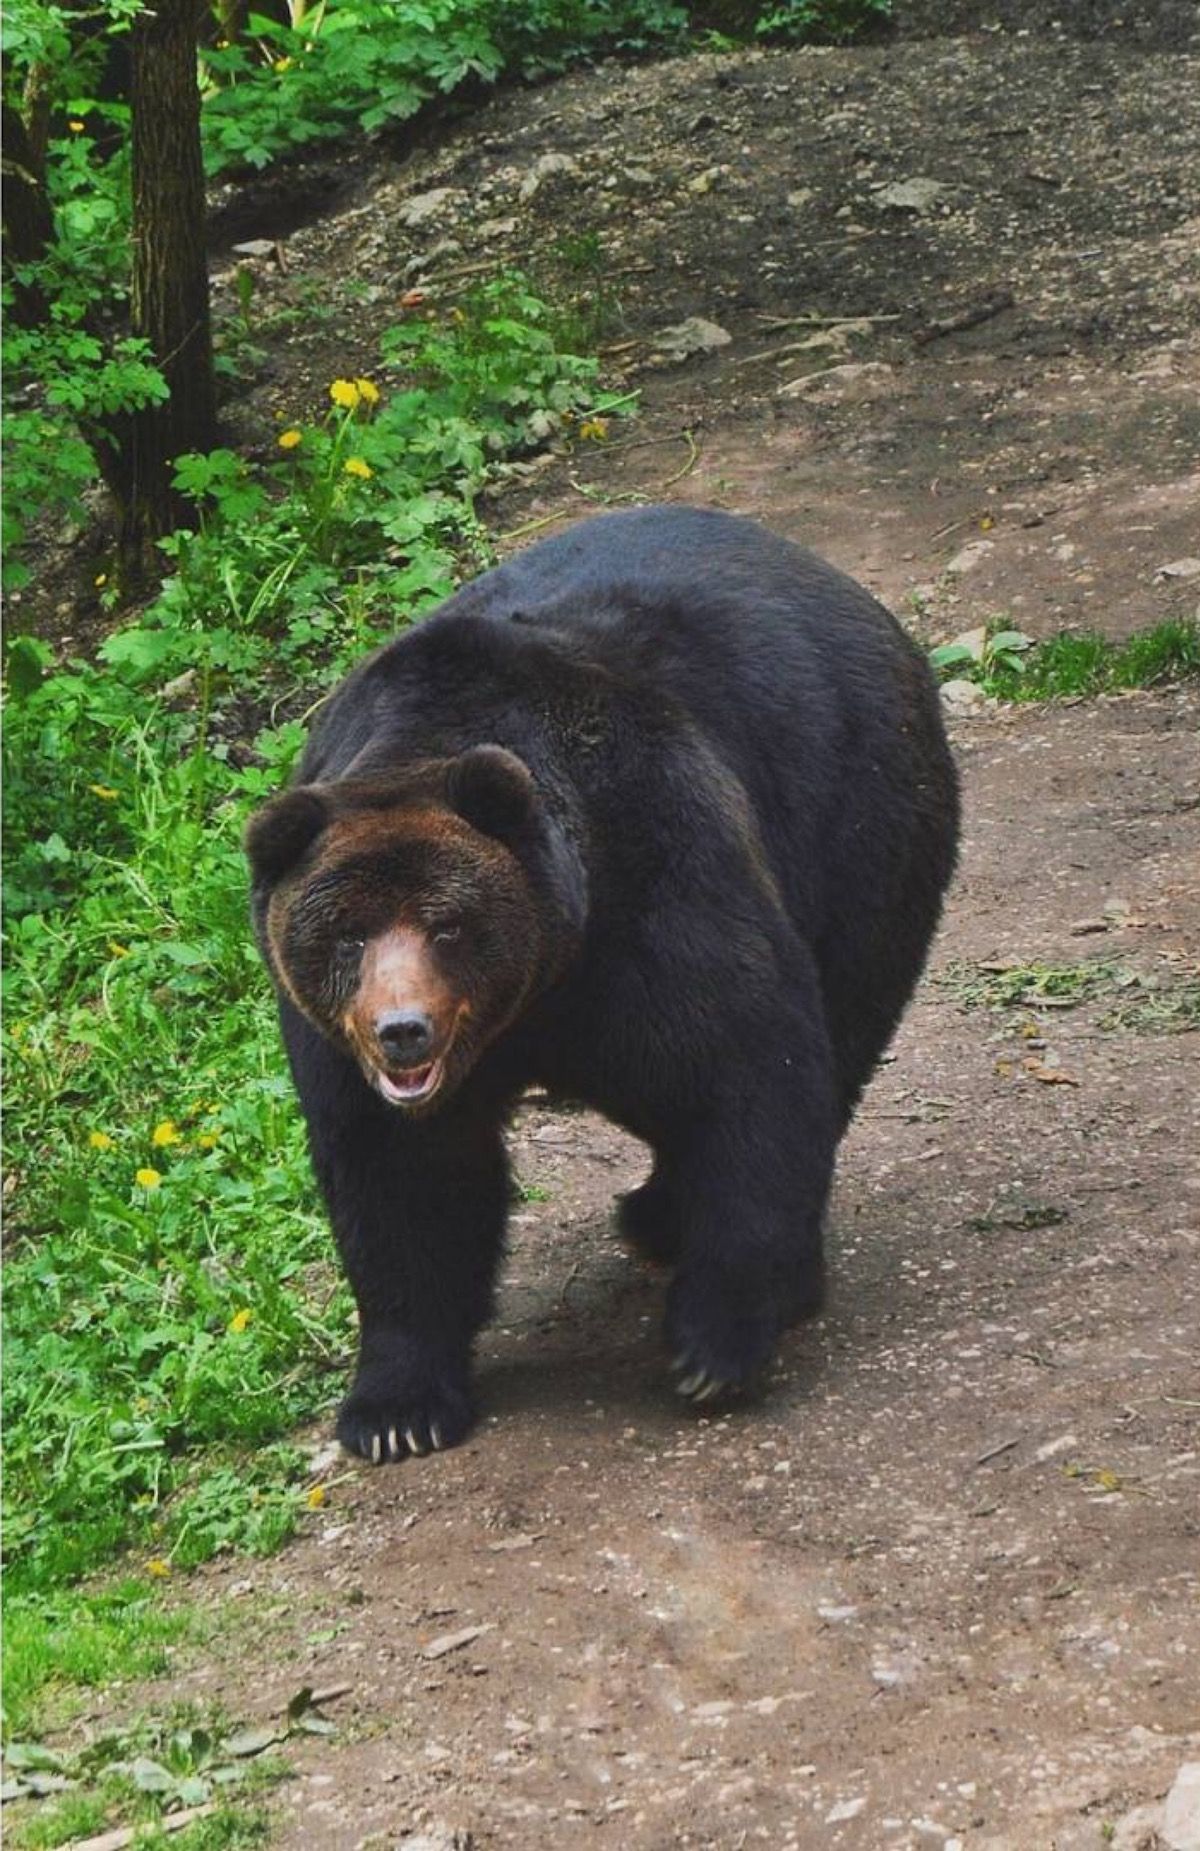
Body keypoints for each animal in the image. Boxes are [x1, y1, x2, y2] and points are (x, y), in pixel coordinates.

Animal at [248, 503, 962, 1458]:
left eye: (447, 925)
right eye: (348, 935)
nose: (403, 1030)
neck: (535, 991)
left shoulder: (654, 879)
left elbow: (745, 1069)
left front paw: (715, 1344)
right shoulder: (339, 1043)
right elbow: (399, 1179)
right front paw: (397, 1409)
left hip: (861, 819)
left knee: (839, 1029)